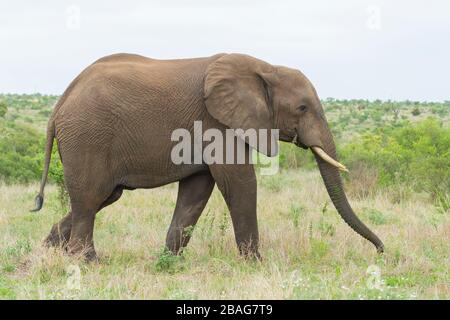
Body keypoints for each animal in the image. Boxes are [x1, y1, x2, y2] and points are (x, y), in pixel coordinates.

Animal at [30, 52, 384, 262]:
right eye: (302, 108)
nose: (381, 252)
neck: (264, 68)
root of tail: (59, 104)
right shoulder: (217, 122)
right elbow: (239, 181)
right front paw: (255, 265)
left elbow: (197, 190)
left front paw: (169, 263)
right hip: (88, 136)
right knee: (91, 197)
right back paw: (86, 262)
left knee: (104, 196)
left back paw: (44, 254)